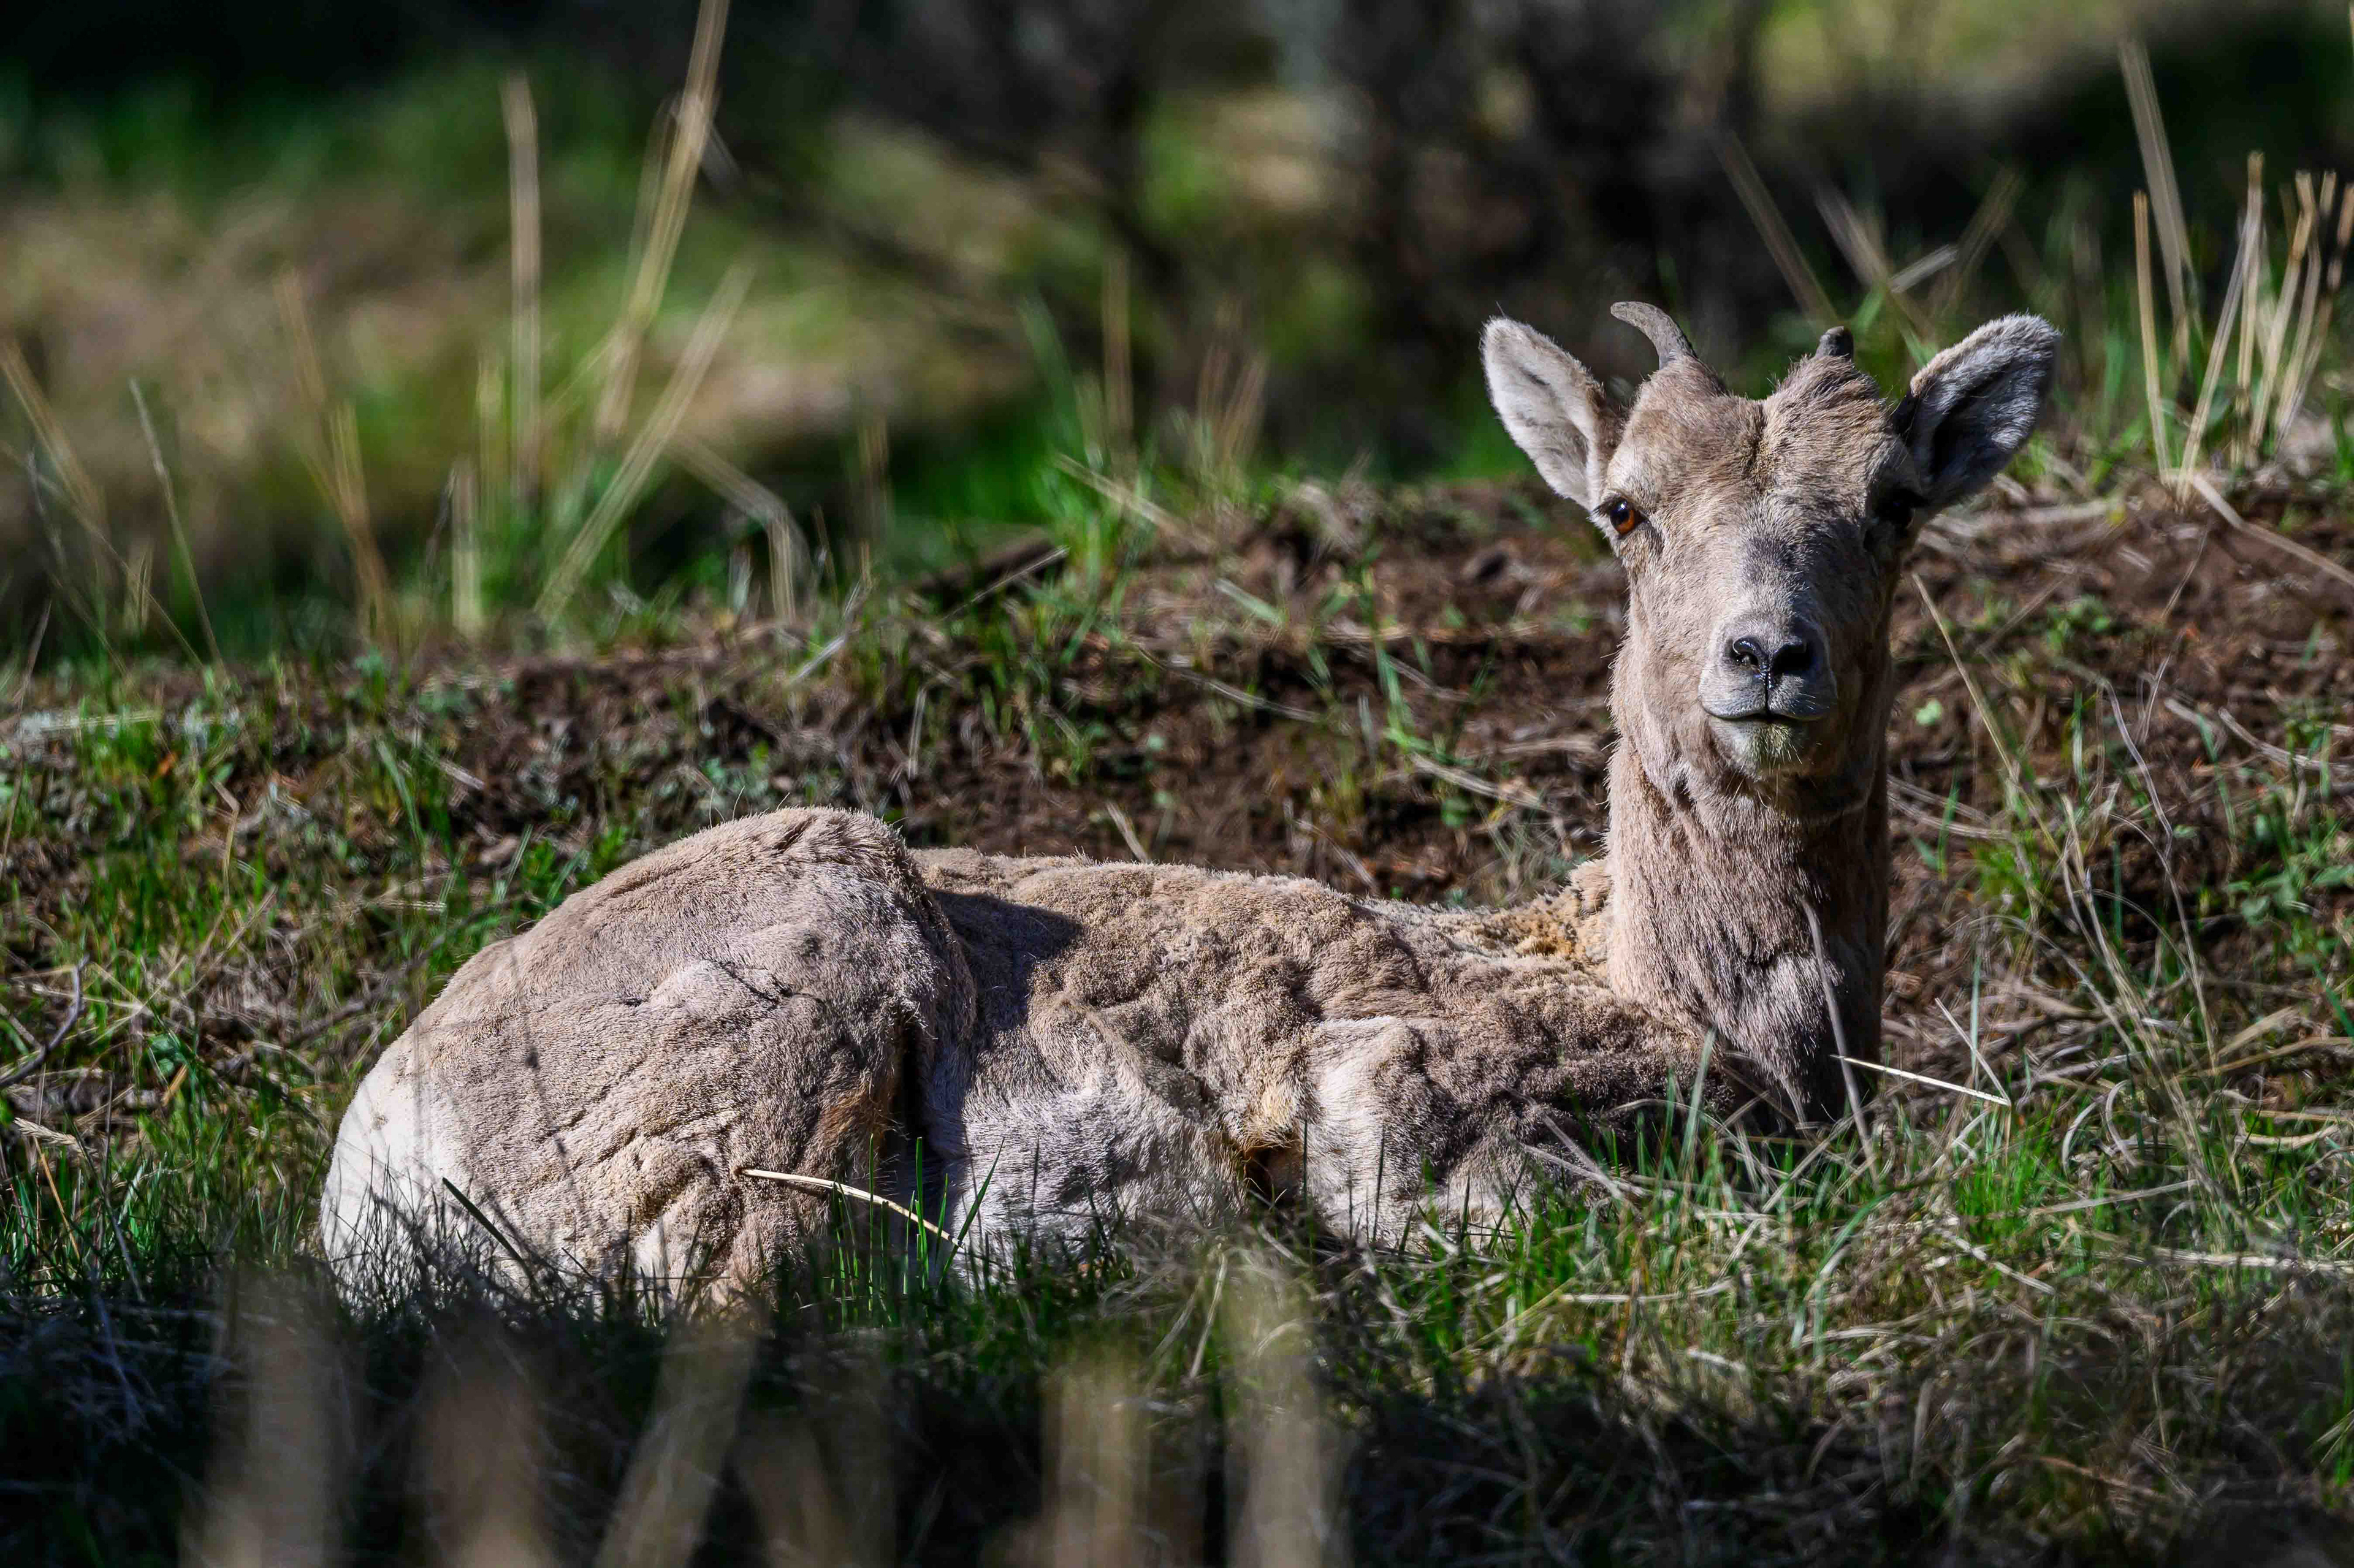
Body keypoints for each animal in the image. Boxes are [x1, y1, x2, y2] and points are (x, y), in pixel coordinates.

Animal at [321, 304, 2056, 1293]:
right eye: (1623, 510)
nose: (1765, 657)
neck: (1685, 998)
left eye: (1893, 502)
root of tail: (375, 1159)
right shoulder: (1404, 1098)